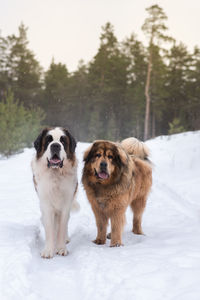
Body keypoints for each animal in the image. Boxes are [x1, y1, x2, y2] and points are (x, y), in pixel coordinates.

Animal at [31, 126, 79, 258]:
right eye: (48, 141)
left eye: (63, 141)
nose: (56, 145)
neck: (56, 174)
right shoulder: (46, 205)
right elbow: (49, 228)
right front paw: (48, 250)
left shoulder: (66, 204)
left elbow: (62, 227)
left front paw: (61, 248)